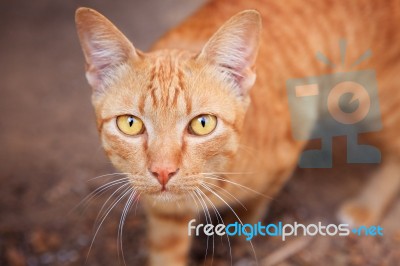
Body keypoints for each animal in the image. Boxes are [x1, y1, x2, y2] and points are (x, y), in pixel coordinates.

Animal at [75, 1, 400, 264]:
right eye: (131, 124)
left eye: (202, 124)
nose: (163, 172)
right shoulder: (164, 215)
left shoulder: (286, 155)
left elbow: (255, 205)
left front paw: (241, 228)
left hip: (372, 102)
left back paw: (366, 206)